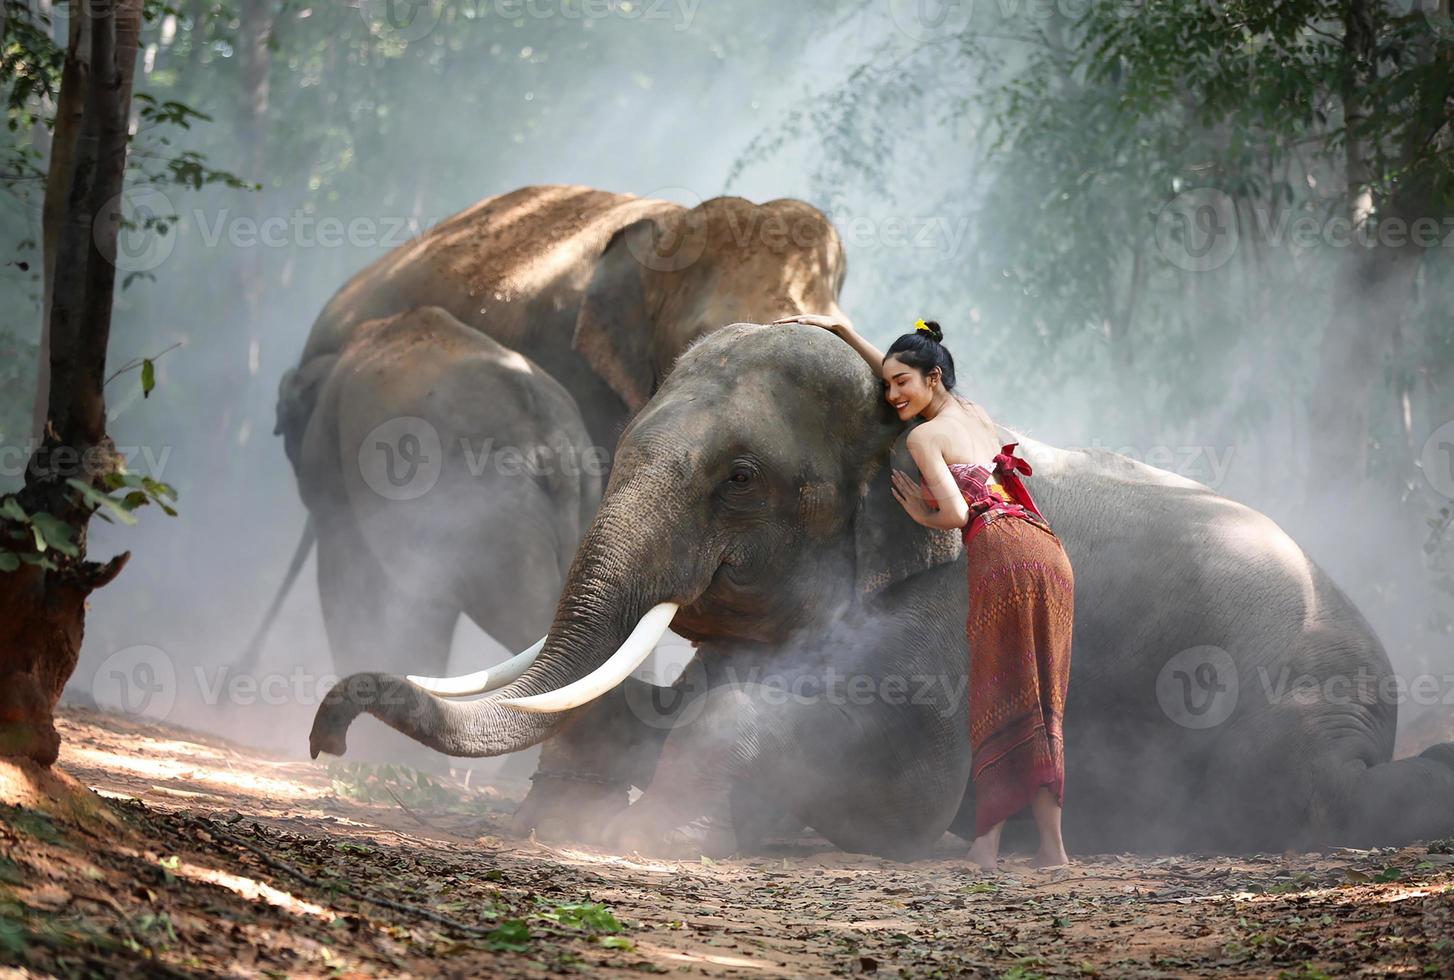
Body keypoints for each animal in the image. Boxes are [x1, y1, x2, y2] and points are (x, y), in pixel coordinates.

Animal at [312, 319, 1454, 854]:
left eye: (739, 479)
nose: (324, 735)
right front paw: (568, 824)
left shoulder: (947, 599)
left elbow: (894, 760)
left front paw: (651, 843)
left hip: (1290, 711)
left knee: (1323, 792)